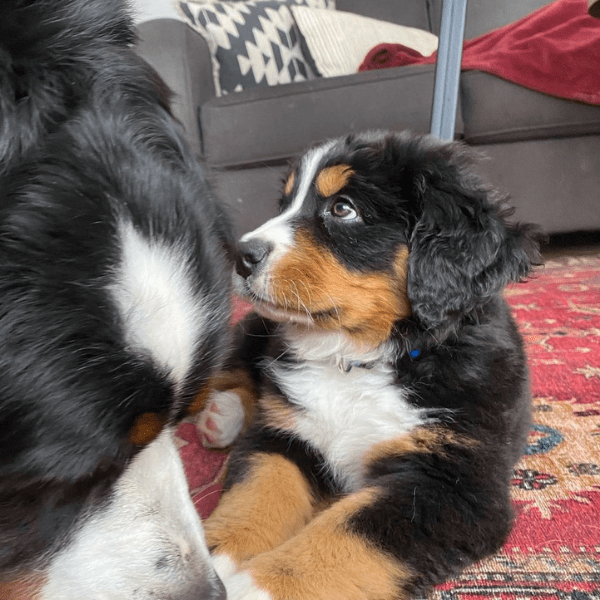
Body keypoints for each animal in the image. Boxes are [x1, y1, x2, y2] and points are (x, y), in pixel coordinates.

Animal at [199, 130, 540, 600]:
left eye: (343, 209)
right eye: (284, 203)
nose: (241, 255)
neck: (356, 359)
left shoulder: (450, 485)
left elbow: (344, 534)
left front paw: (254, 586)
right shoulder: (282, 437)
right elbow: (254, 498)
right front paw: (206, 563)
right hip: (258, 328)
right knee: (237, 368)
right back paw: (221, 414)